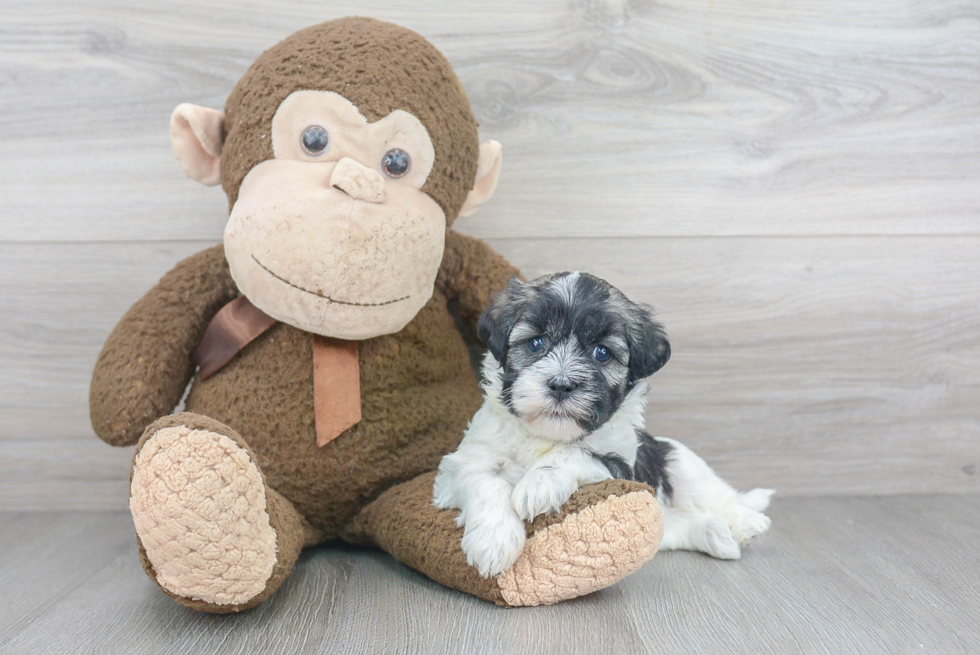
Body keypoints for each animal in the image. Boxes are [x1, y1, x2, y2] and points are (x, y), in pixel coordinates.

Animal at [428, 272, 772, 580]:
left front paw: (538, 485)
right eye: (536, 343)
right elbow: (487, 482)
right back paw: (718, 534)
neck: (546, 435)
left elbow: (575, 454)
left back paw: (747, 522)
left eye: (602, 353)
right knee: (680, 525)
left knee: (719, 496)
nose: (561, 384)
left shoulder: (622, 466)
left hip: (681, 462)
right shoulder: (461, 466)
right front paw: (494, 541)